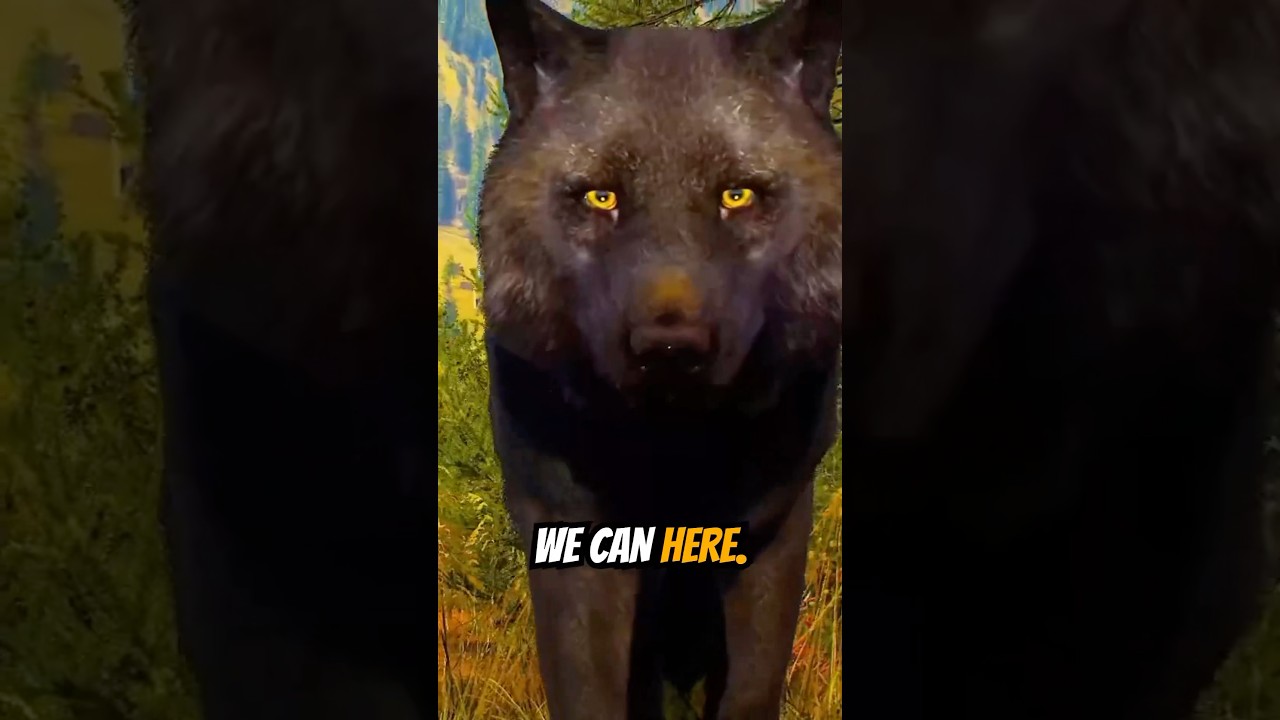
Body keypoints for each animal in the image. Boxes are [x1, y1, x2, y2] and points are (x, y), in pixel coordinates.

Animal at [478, 1, 842, 718]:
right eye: (601, 197)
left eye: (737, 195)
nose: (670, 349)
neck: (671, 456)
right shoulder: (565, 532)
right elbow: (588, 692)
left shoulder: (774, 529)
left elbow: (752, 688)